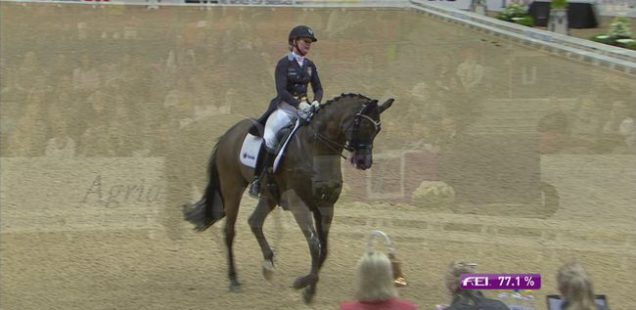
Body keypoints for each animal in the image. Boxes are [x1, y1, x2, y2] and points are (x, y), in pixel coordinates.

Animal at [181, 92, 396, 302]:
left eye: (377, 130)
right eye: (362, 125)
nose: (364, 162)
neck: (317, 149)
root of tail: (229, 134)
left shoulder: (326, 205)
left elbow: (324, 249)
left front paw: (309, 290)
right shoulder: (298, 203)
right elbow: (315, 245)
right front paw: (302, 284)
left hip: (269, 195)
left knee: (254, 221)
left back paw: (268, 264)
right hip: (232, 188)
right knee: (230, 231)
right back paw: (234, 280)